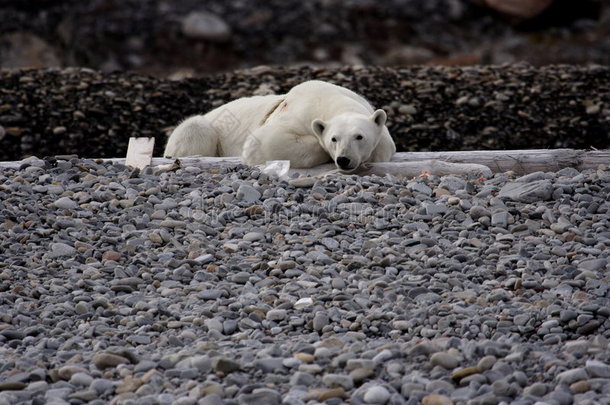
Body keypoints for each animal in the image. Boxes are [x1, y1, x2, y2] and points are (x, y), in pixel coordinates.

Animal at [162, 80, 394, 170]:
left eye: (360, 137)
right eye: (333, 139)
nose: (344, 159)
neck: (329, 100)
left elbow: (384, 146)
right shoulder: (297, 114)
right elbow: (266, 142)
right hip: (206, 127)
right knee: (194, 127)